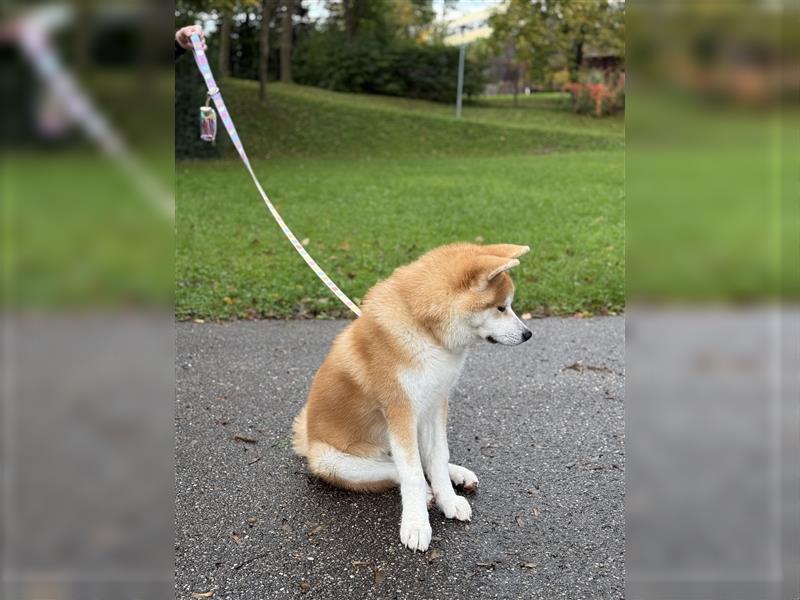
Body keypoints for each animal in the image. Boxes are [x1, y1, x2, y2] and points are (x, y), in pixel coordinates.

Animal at [294, 241, 532, 552]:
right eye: (501, 307)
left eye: (509, 305)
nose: (528, 334)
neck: (425, 330)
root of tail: (307, 440)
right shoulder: (401, 411)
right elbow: (412, 474)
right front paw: (417, 524)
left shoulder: (435, 404)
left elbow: (438, 457)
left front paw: (448, 499)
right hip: (332, 460)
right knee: (394, 468)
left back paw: (457, 475)